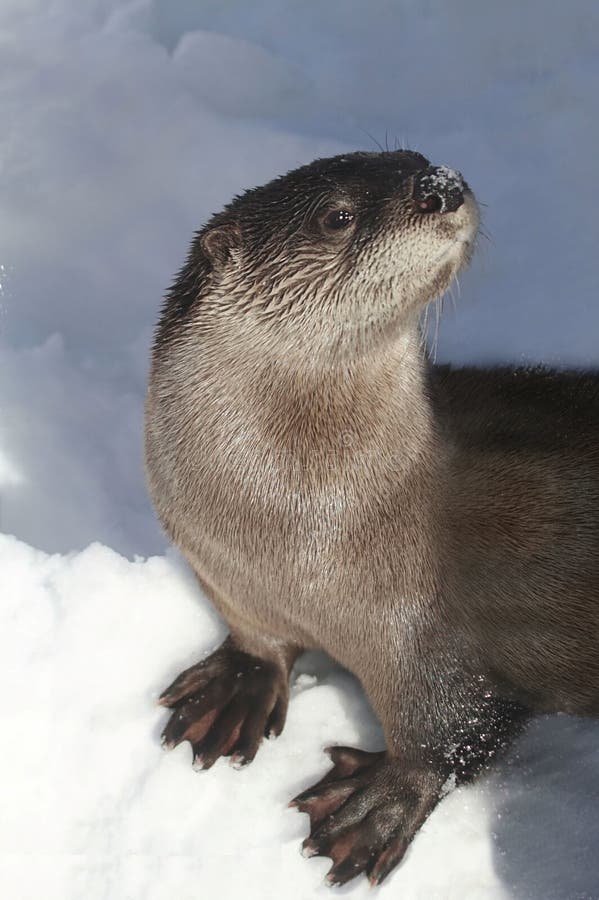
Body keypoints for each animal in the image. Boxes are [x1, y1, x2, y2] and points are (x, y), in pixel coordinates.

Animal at [145, 149, 599, 884]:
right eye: (338, 215)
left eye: (422, 163)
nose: (440, 186)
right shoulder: (222, 571)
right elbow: (254, 638)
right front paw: (233, 690)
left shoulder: (424, 636)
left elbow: (451, 733)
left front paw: (371, 807)